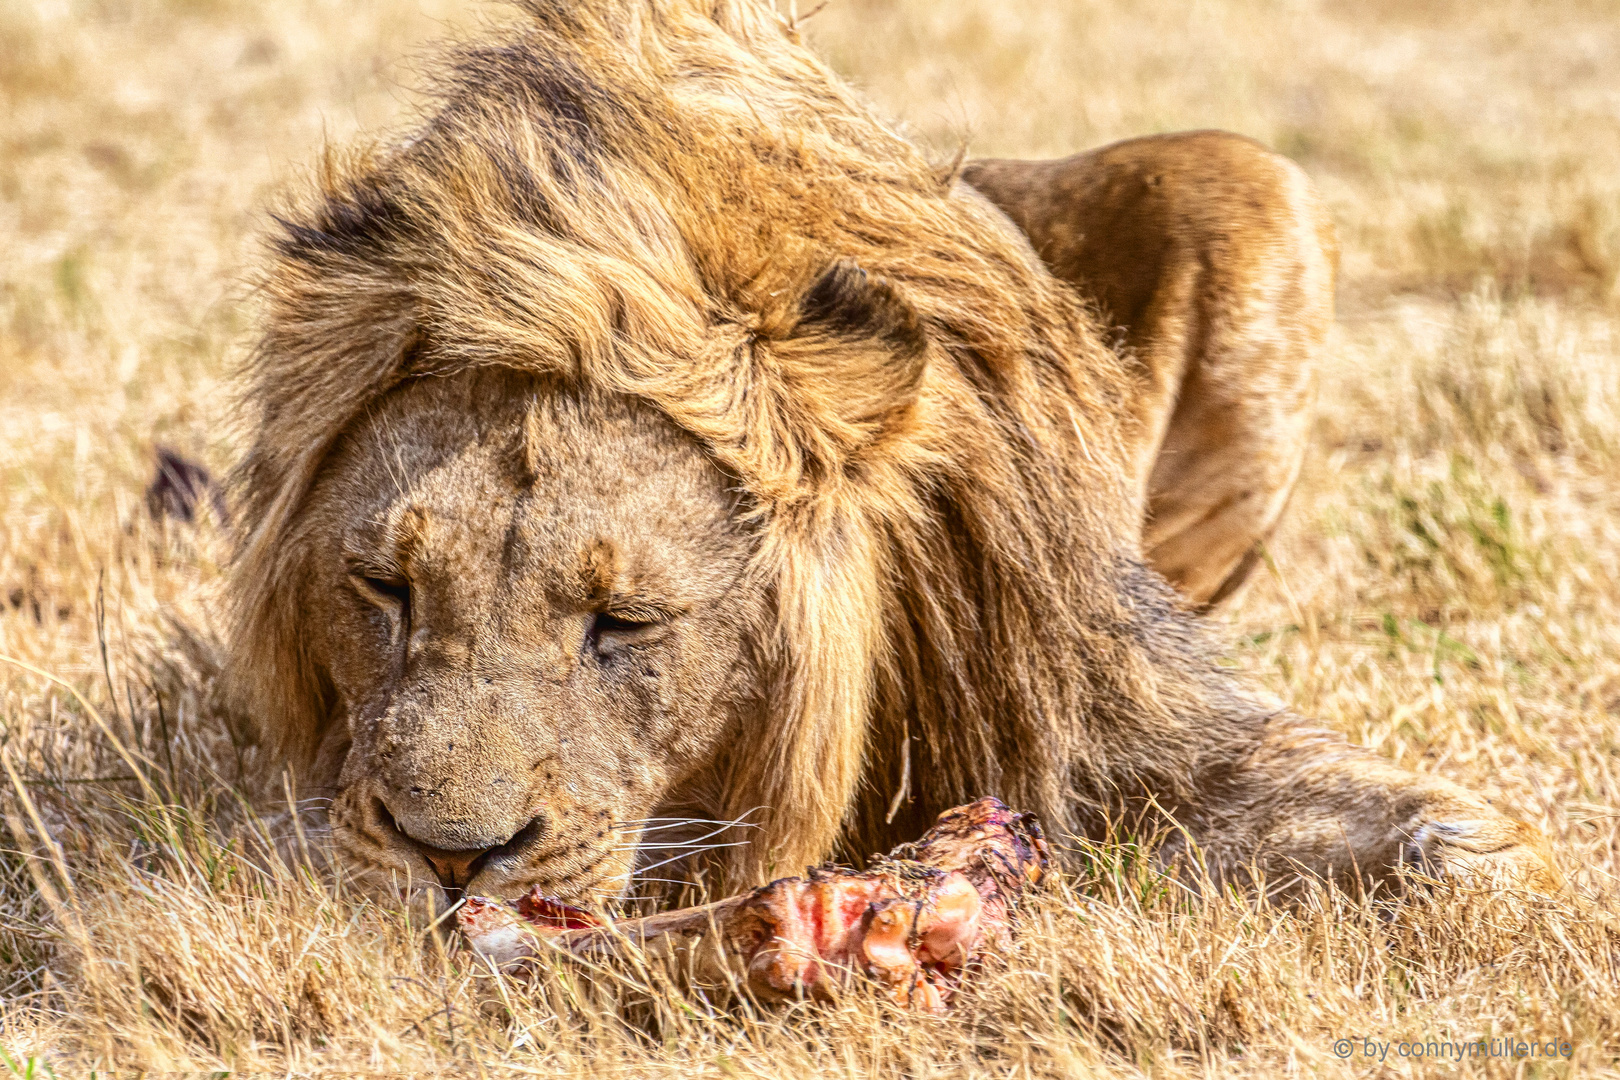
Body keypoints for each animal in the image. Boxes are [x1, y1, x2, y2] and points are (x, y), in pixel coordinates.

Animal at [225, 0, 1555, 906]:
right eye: (384, 590)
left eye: (625, 624)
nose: (449, 860)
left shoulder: (1088, 692)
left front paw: (1489, 857)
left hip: (1254, 181)